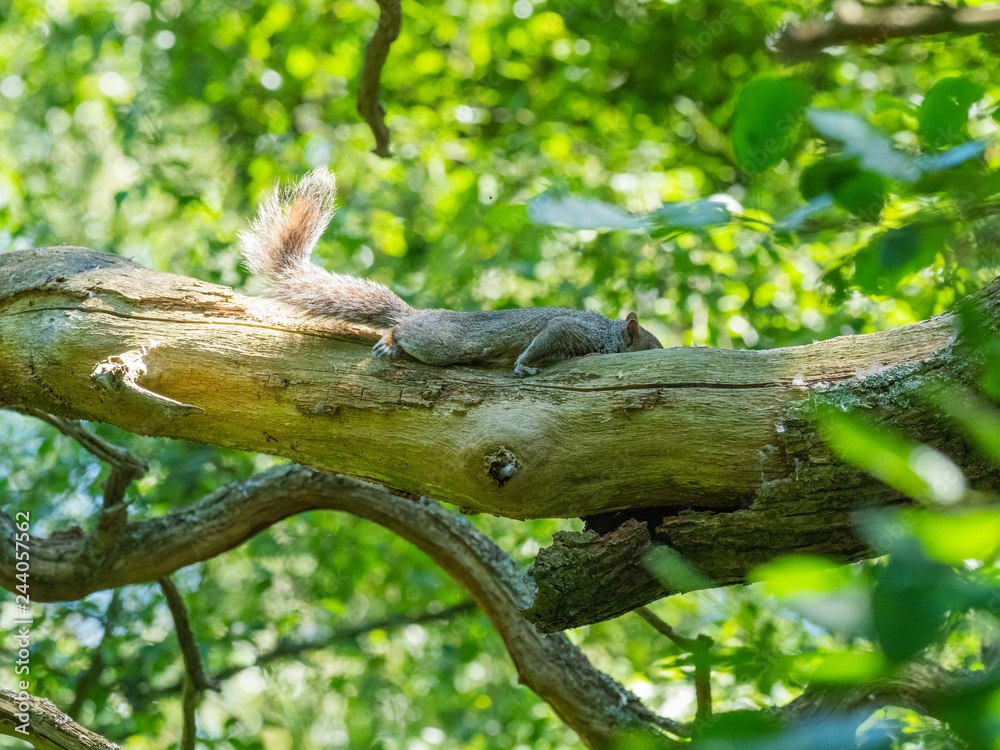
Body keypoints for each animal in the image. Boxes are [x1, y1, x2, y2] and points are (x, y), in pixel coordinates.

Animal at [240, 169, 664, 376]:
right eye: (653, 345)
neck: (606, 332)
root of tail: (420, 314)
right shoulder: (571, 330)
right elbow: (546, 338)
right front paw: (524, 364)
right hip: (442, 343)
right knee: (404, 331)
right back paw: (390, 340)